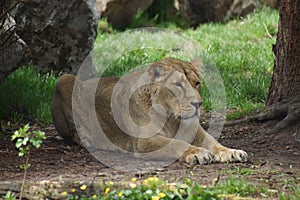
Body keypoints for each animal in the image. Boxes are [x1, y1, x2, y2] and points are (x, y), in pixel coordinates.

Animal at [52, 57, 248, 165]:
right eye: (178, 85)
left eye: (197, 83)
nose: (198, 104)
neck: (172, 118)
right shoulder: (144, 142)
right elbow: (176, 144)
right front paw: (198, 153)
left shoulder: (196, 131)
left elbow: (214, 143)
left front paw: (231, 152)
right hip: (64, 79)